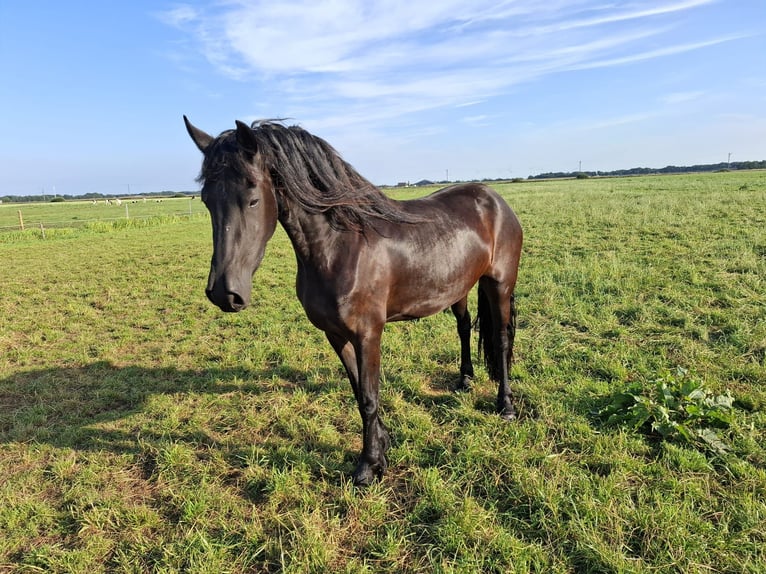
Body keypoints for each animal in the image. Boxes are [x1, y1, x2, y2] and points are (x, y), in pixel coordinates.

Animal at [184, 116, 523, 485]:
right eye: (206, 200)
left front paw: (368, 466)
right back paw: (464, 380)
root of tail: (494, 199)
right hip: (458, 288)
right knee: (463, 328)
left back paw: (505, 405)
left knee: (501, 340)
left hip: (499, 284)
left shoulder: (368, 334)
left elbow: (370, 397)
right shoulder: (335, 334)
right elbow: (360, 392)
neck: (339, 247)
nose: (224, 293)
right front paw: (382, 445)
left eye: (253, 199)